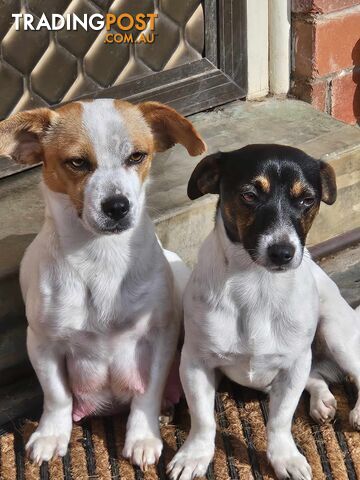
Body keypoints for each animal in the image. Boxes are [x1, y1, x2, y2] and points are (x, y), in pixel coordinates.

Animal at [0, 98, 205, 468]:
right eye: (77, 162)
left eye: (137, 156)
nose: (117, 206)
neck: (101, 258)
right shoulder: (41, 343)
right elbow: (56, 396)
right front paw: (51, 435)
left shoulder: (159, 338)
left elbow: (147, 394)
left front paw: (143, 436)